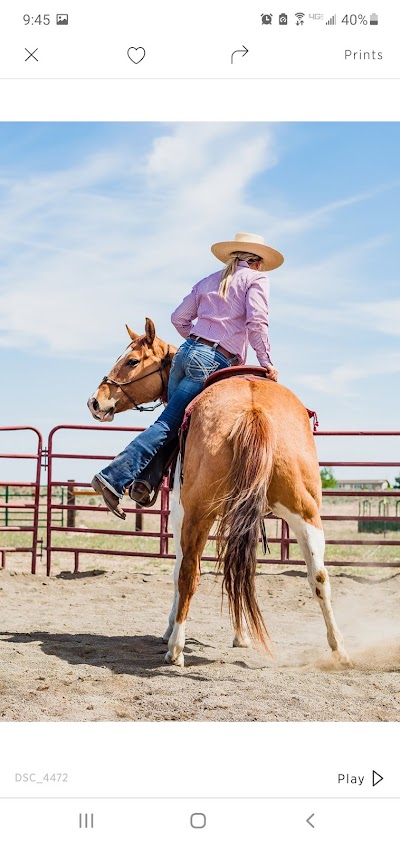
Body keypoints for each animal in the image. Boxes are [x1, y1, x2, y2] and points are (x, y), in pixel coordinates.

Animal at [88, 320, 350, 668]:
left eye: (131, 361)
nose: (95, 401)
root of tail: (254, 410)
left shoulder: (180, 516)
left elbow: (180, 570)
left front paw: (170, 629)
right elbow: (238, 569)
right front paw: (242, 635)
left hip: (198, 513)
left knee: (189, 573)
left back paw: (175, 648)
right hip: (306, 513)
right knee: (318, 576)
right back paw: (339, 649)